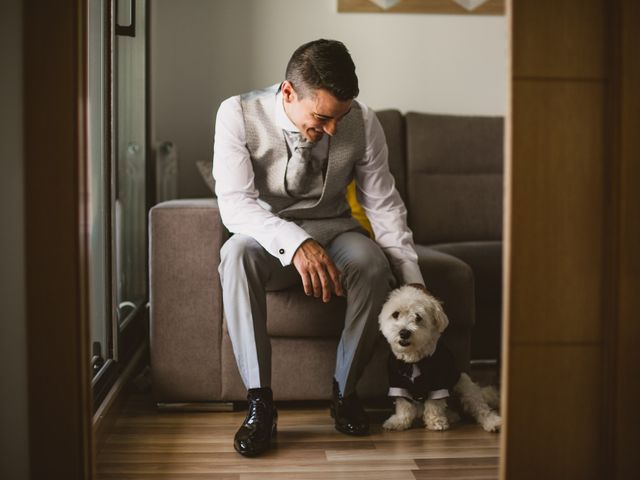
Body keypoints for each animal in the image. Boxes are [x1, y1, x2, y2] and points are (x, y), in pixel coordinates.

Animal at [378, 284, 502, 434]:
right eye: (395, 314)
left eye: (418, 317)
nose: (404, 333)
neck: (414, 360)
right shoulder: (398, 383)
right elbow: (403, 405)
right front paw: (399, 422)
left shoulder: (438, 382)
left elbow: (434, 404)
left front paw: (436, 422)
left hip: (464, 384)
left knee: (481, 408)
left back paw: (492, 422)